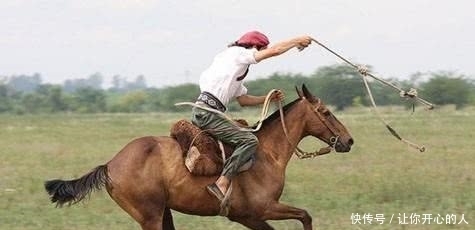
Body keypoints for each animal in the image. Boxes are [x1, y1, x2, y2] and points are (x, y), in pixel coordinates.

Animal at [44, 85, 356, 230]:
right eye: (325, 112)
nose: (348, 140)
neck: (267, 153)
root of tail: (110, 165)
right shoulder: (262, 210)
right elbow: (305, 215)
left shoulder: (249, 217)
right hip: (149, 216)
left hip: (163, 212)